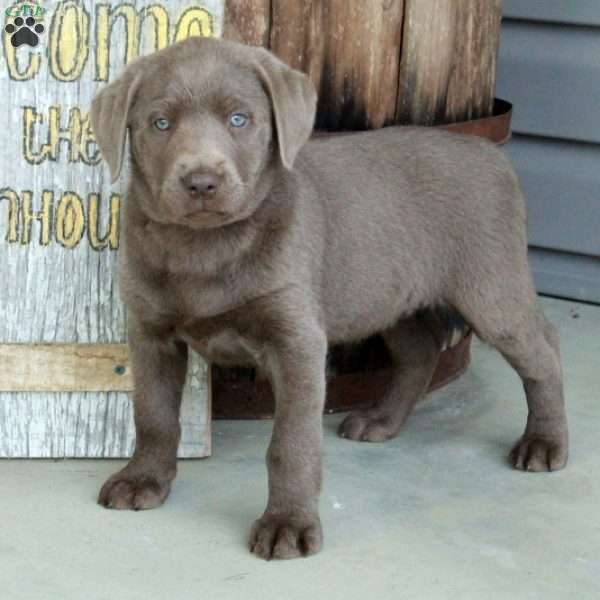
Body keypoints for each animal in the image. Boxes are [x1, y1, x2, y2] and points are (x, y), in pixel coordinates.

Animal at [89, 37, 568, 560]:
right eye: (160, 123)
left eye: (239, 119)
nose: (201, 182)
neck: (205, 247)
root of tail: (491, 153)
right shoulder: (150, 334)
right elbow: (153, 415)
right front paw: (143, 480)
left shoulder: (296, 341)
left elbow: (291, 443)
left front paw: (287, 524)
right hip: (391, 291)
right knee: (420, 351)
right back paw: (381, 420)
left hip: (491, 288)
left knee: (544, 351)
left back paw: (545, 442)